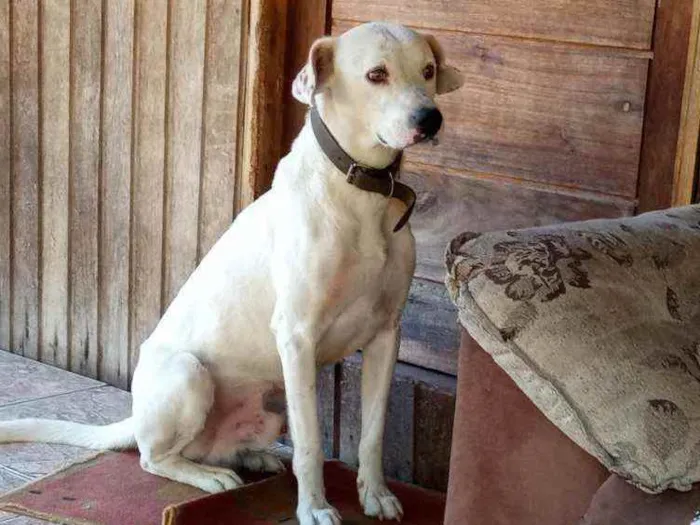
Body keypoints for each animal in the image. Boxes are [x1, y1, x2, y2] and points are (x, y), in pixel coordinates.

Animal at [0, 22, 462, 520]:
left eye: (428, 70)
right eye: (376, 74)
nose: (430, 119)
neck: (362, 194)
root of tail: (136, 415)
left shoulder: (385, 335)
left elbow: (373, 434)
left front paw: (374, 495)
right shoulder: (297, 336)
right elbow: (312, 445)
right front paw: (314, 508)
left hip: (273, 404)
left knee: (218, 447)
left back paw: (254, 457)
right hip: (188, 374)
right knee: (153, 458)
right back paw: (209, 477)